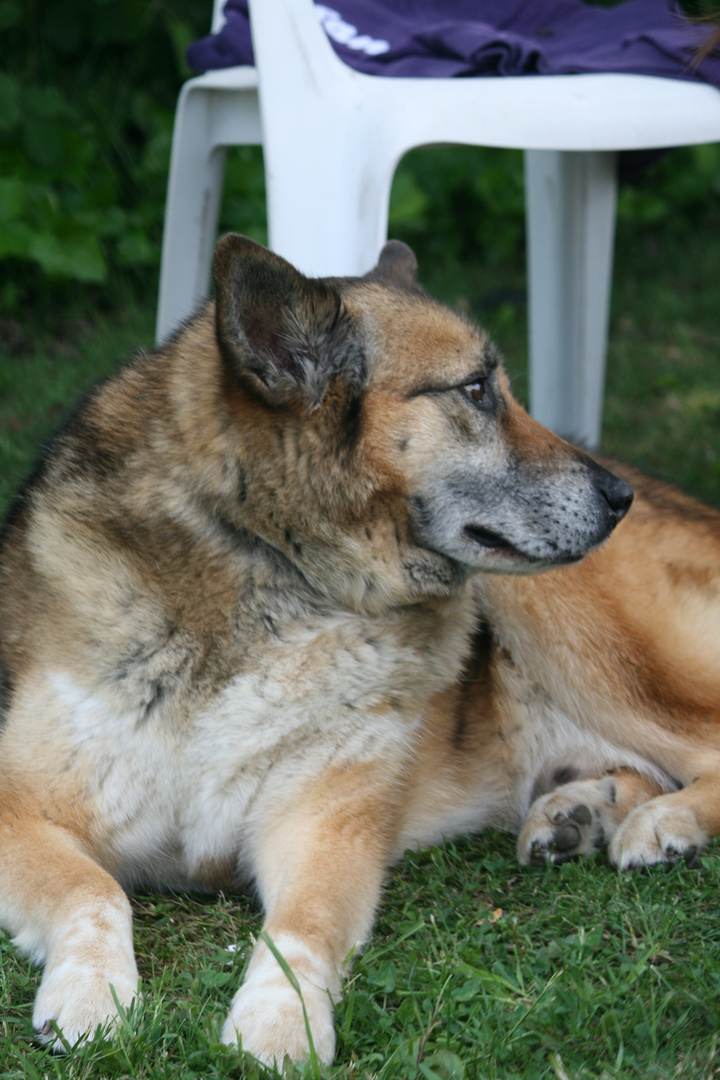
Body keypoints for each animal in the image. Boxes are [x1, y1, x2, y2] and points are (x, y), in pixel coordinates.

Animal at [1, 236, 720, 1062]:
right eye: (476, 390)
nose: (619, 500)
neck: (270, 571)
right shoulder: (21, 807)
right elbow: (95, 890)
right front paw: (93, 992)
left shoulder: (323, 826)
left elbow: (302, 928)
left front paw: (281, 1021)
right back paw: (579, 814)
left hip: (551, 612)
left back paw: (663, 824)